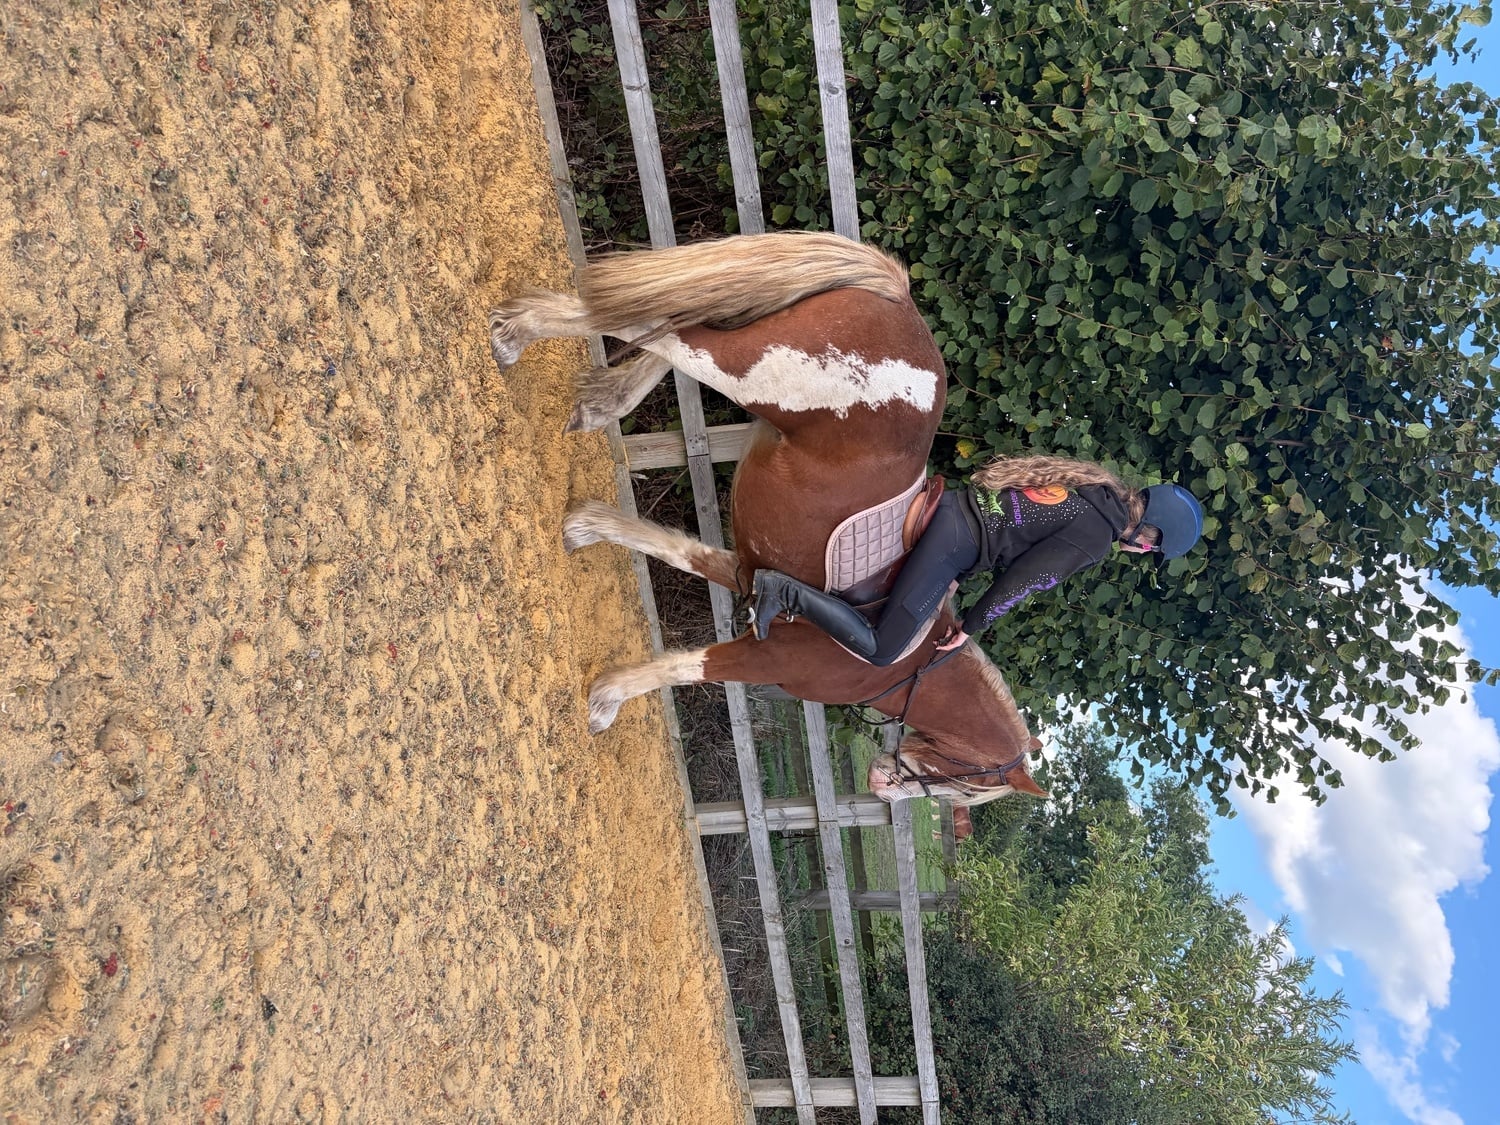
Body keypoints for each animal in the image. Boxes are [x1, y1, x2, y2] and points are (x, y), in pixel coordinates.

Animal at [488, 232, 1046, 809]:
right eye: (967, 783)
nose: (884, 791)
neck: (896, 666)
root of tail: (899, 297)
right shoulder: (767, 659)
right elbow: (688, 668)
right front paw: (606, 700)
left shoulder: (747, 570)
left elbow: (678, 551)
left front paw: (585, 526)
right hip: (745, 370)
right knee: (657, 328)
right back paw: (516, 332)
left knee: (667, 319)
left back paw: (592, 391)